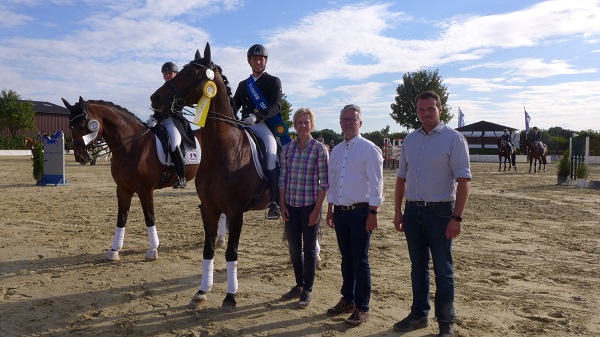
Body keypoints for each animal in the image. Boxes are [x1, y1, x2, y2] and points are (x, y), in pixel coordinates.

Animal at [61, 97, 202, 260]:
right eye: (70, 126)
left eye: (83, 126)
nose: (80, 157)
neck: (132, 146)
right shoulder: (123, 189)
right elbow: (121, 217)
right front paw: (114, 251)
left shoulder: (145, 190)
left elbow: (149, 216)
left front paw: (153, 250)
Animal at [151, 42, 270, 310]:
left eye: (191, 73)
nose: (155, 98)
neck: (225, 150)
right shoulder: (208, 209)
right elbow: (208, 250)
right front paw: (201, 291)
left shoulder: (235, 212)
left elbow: (231, 253)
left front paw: (230, 296)